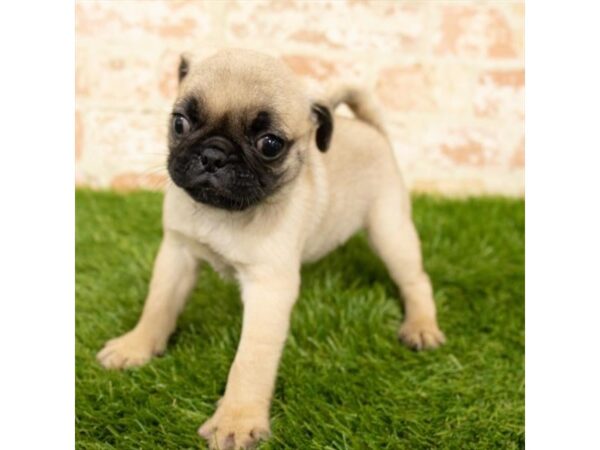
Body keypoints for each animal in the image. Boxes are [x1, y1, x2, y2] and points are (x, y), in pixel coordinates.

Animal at [97, 49, 446, 450]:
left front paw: (237, 420)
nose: (213, 155)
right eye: (180, 123)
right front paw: (136, 346)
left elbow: (251, 360)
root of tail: (372, 130)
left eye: (270, 144)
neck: (226, 214)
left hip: (390, 230)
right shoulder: (177, 252)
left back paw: (421, 326)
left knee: (416, 280)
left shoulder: (269, 289)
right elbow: (158, 305)